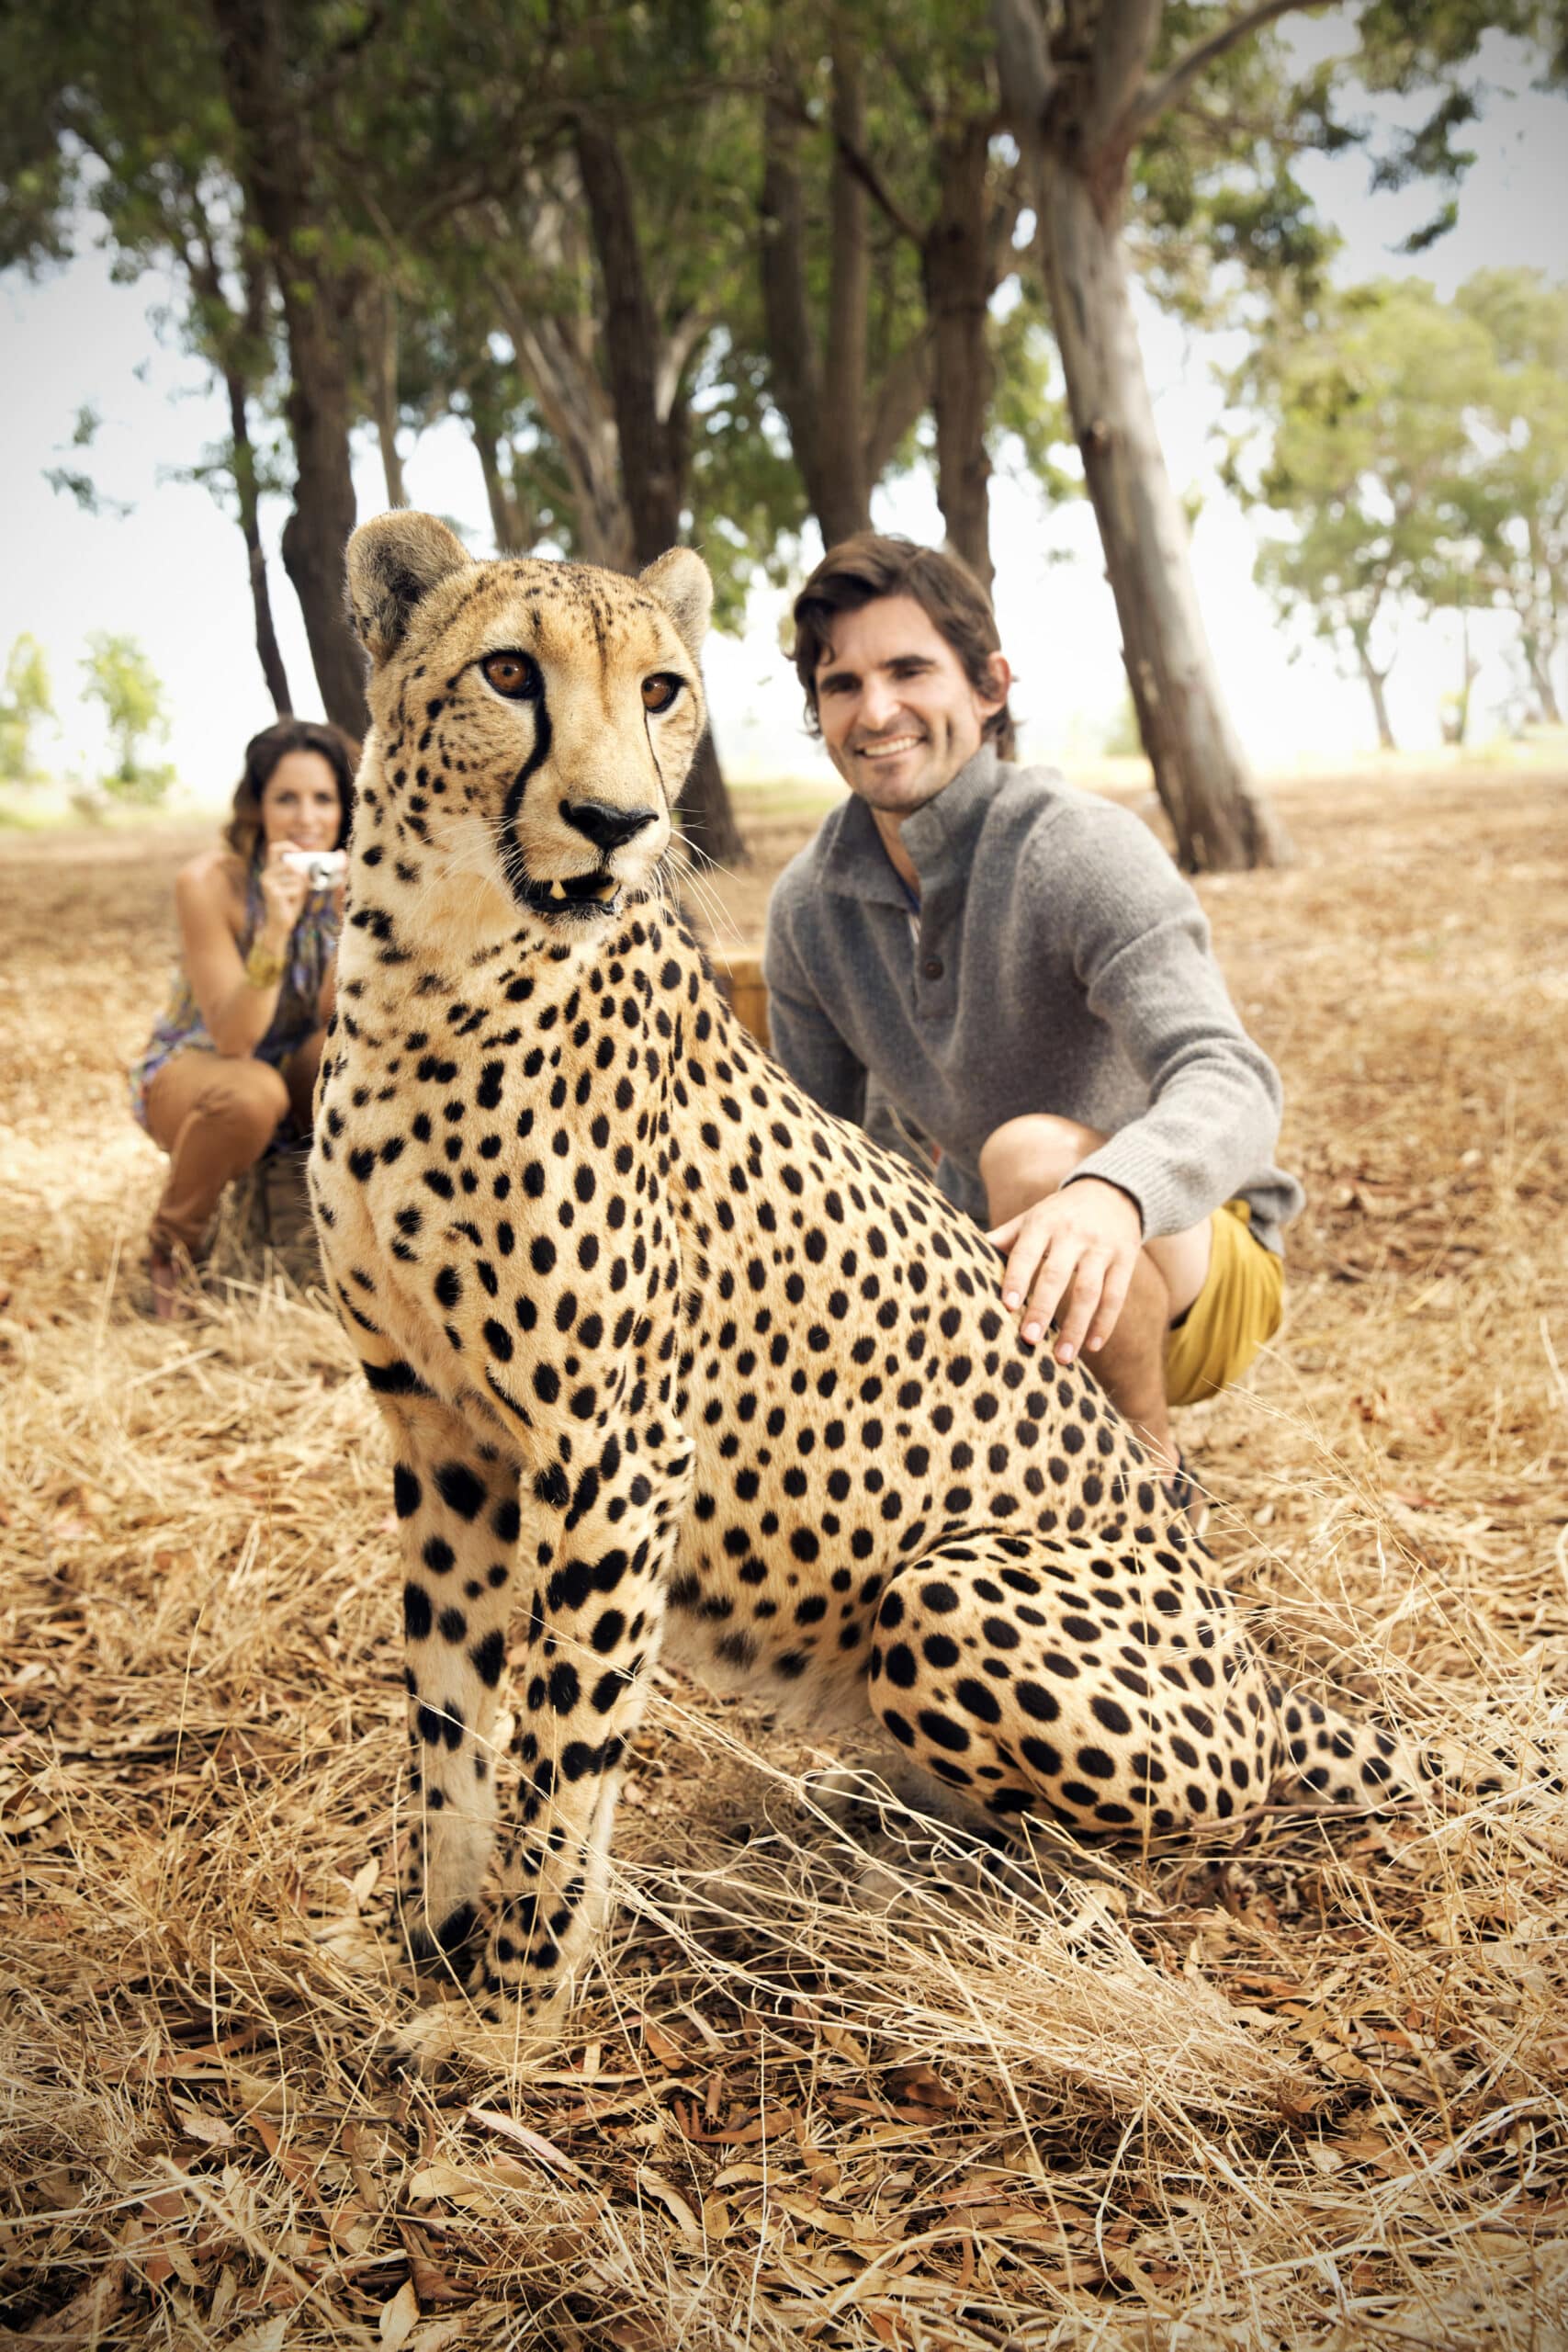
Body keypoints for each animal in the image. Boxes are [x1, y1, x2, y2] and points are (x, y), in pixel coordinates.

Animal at [312, 514, 1476, 2041]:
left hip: (949, 1594)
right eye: (509, 672)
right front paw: (429, 1936)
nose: (620, 824)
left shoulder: (616, 1448)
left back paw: (984, 1885)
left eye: (661, 691)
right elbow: (448, 1706)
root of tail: (1262, 1679)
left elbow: (565, 1730)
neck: (432, 971)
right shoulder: (438, 1432)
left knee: (1151, 1839)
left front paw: (512, 2006)